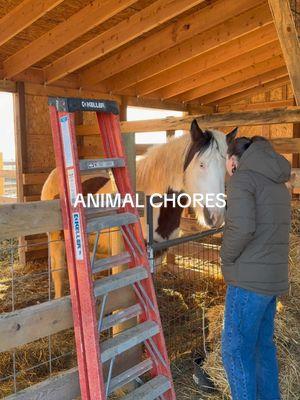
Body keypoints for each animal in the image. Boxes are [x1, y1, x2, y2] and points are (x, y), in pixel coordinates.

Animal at [41, 120, 237, 298]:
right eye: (201, 164)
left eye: (225, 170)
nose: (216, 216)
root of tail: (53, 175)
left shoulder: (157, 255)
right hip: (56, 240)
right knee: (59, 276)